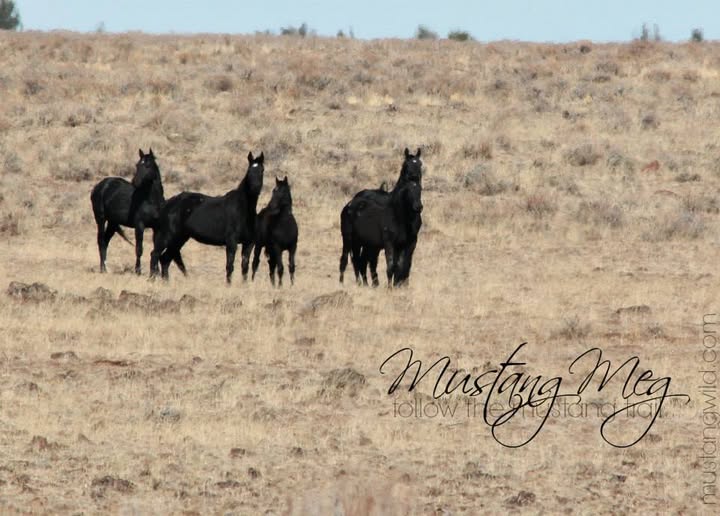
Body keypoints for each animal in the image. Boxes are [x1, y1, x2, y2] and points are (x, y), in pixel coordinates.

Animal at [152, 151, 264, 284]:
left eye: (262, 170)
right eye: (249, 171)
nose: (255, 188)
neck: (243, 210)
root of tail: (167, 204)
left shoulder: (249, 243)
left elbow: (245, 266)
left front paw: (244, 285)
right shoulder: (231, 242)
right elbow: (230, 265)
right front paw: (228, 285)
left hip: (180, 238)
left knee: (165, 259)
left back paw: (166, 283)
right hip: (168, 235)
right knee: (155, 255)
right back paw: (151, 279)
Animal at [339, 148, 423, 285]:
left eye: (420, 164)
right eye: (406, 164)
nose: (413, 177)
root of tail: (350, 204)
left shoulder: (409, 243)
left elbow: (404, 265)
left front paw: (400, 285)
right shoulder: (390, 243)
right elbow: (391, 266)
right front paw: (391, 286)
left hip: (367, 243)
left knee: (362, 261)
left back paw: (367, 284)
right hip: (349, 239)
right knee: (348, 259)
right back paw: (346, 283)